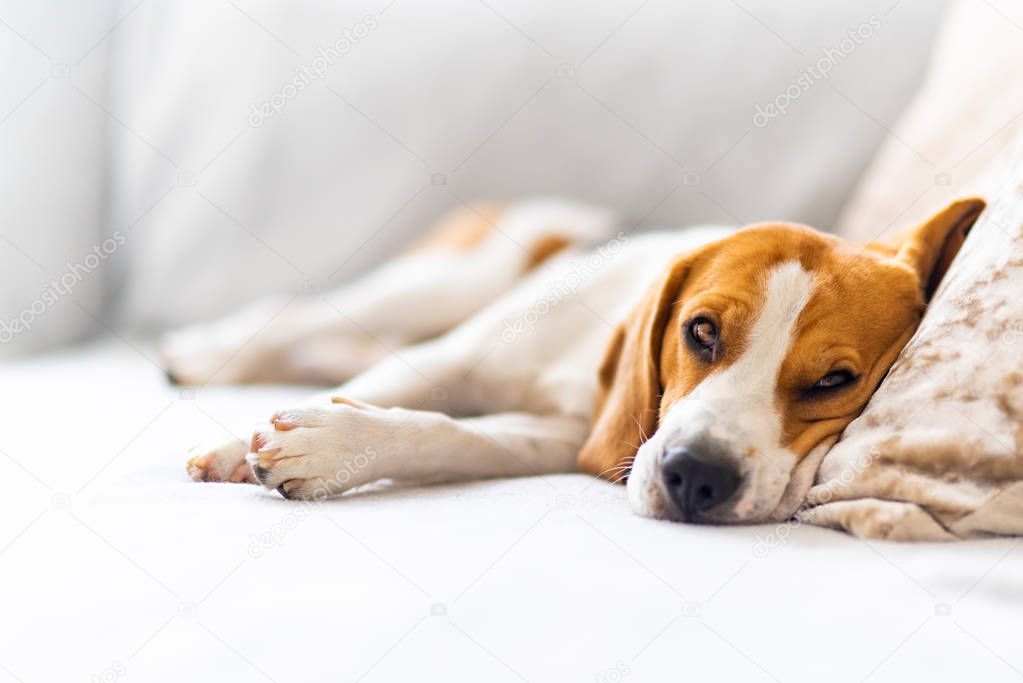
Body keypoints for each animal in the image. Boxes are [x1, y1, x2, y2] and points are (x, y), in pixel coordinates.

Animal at [167, 194, 982, 527]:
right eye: (701, 332)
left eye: (833, 381)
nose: (698, 477)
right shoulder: (451, 357)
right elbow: (375, 388)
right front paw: (244, 444)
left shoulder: (567, 437)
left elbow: (449, 435)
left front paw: (335, 445)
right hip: (441, 284)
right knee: (301, 321)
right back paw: (202, 351)